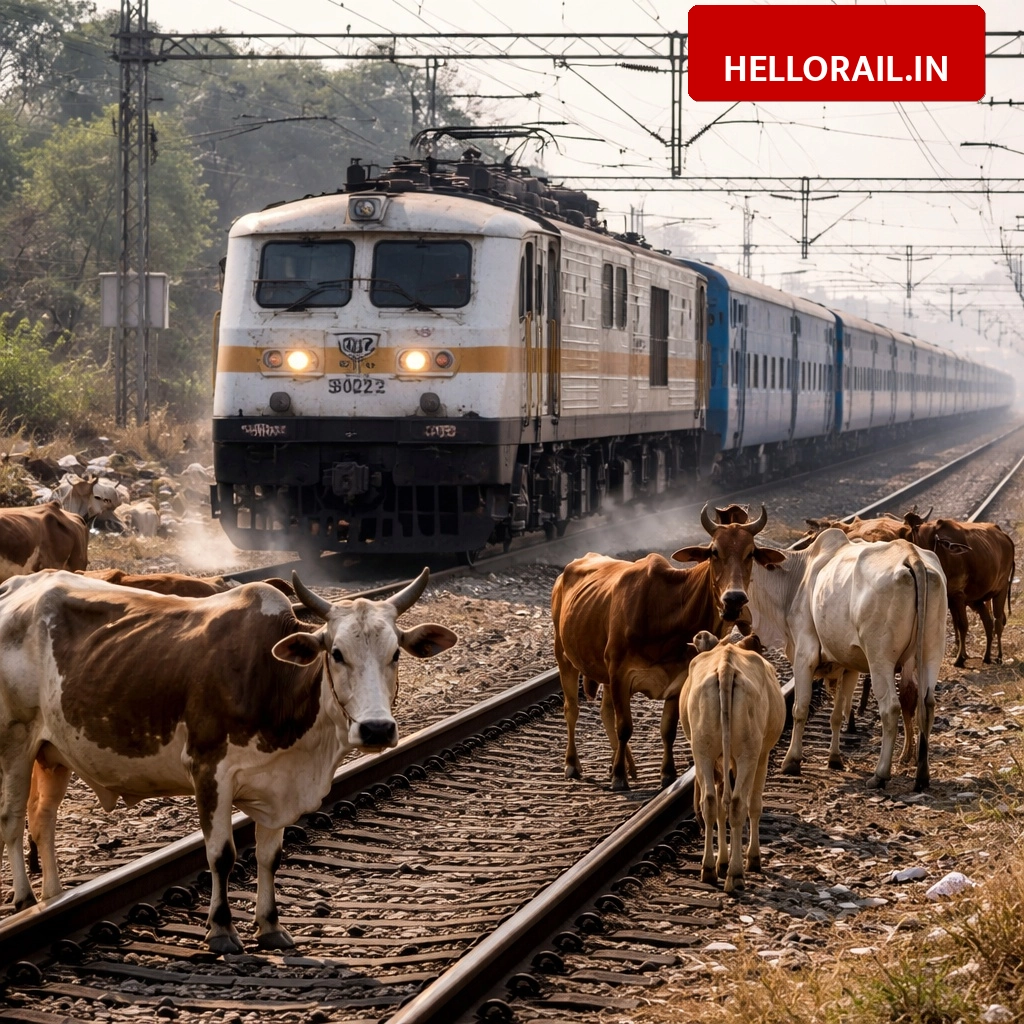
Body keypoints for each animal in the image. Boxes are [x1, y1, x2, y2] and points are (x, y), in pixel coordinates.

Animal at [0, 568, 456, 953]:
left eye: (395, 653)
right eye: (337, 653)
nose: (377, 729)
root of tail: (21, 585)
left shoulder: (277, 787)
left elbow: (269, 856)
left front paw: (270, 925)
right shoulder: (209, 771)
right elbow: (222, 855)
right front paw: (221, 929)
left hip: (54, 753)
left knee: (42, 821)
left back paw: (53, 897)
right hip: (15, 742)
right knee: (12, 821)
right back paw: (24, 900)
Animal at [551, 504, 786, 792]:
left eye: (750, 552)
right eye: (714, 551)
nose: (734, 599)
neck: (668, 610)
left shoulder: (678, 678)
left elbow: (668, 729)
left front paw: (667, 773)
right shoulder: (619, 673)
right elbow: (624, 726)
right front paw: (618, 777)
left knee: (605, 712)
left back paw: (627, 765)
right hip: (564, 656)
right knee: (572, 709)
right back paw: (574, 764)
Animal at [679, 629, 785, 893]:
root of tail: (726, 666)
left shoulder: (719, 763)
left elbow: (718, 809)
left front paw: (722, 863)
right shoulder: (762, 755)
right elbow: (754, 805)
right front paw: (751, 858)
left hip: (702, 750)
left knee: (709, 803)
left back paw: (709, 868)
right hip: (749, 753)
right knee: (738, 804)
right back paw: (736, 874)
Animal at [746, 529, 946, 791]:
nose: (731, 601)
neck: (799, 578)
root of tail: (912, 556)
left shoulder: (804, 654)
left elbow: (800, 708)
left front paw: (792, 761)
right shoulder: (849, 664)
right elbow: (838, 713)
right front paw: (834, 758)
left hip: (880, 659)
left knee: (891, 707)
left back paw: (880, 774)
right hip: (931, 653)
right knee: (927, 703)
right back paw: (922, 774)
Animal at [904, 512, 1015, 668]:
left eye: (929, 550)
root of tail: (1003, 535)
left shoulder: (958, 596)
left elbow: (962, 625)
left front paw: (959, 659)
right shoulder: (949, 599)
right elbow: (955, 623)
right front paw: (961, 653)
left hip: (1001, 589)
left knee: (998, 621)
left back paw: (999, 656)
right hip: (978, 600)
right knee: (988, 622)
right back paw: (987, 656)